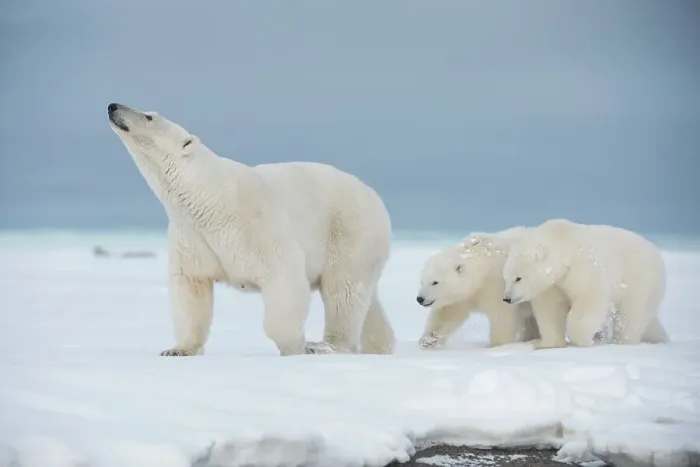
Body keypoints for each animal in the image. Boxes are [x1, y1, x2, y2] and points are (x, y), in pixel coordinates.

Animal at [107, 103, 395, 357]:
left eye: (149, 116)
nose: (112, 106)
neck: (210, 199)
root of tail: (375, 197)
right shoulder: (192, 237)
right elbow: (191, 287)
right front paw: (177, 349)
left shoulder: (257, 226)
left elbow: (284, 277)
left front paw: (296, 347)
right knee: (365, 298)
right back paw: (380, 346)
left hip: (350, 231)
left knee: (343, 291)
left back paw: (327, 345)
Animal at [415, 227, 564, 349]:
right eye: (422, 281)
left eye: (435, 282)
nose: (420, 299)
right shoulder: (465, 296)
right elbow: (448, 313)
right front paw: (428, 340)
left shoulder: (496, 285)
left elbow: (502, 315)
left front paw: (497, 346)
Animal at [502, 218, 668, 349]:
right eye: (505, 278)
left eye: (518, 278)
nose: (507, 298)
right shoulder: (553, 285)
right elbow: (551, 309)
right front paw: (547, 344)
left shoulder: (584, 270)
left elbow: (588, 301)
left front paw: (584, 340)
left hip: (639, 280)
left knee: (630, 314)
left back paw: (624, 342)